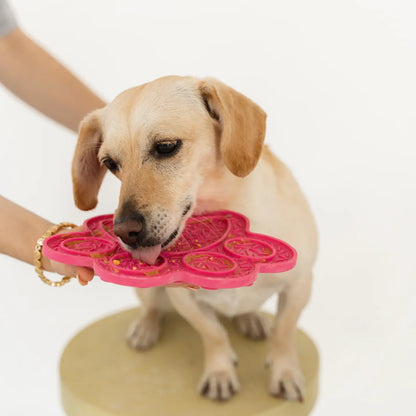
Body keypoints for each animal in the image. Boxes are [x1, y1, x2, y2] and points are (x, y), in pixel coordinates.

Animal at [72, 76, 318, 402]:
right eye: (110, 163)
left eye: (166, 146)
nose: (124, 231)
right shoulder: (184, 298)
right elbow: (213, 333)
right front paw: (219, 372)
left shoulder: (299, 285)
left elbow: (283, 333)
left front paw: (285, 373)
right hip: (148, 290)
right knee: (152, 307)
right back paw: (146, 328)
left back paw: (250, 318)